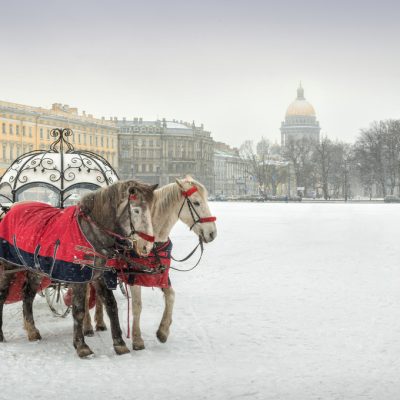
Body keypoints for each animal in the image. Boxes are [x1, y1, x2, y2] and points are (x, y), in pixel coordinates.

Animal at [0, 180, 157, 358]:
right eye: (136, 210)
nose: (147, 246)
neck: (90, 233)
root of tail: (11, 209)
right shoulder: (78, 279)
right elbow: (79, 310)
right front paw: (81, 346)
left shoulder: (100, 276)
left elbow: (111, 306)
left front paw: (119, 343)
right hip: (9, 267)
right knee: (2, 296)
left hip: (35, 271)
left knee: (27, 296)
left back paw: (32, 331)